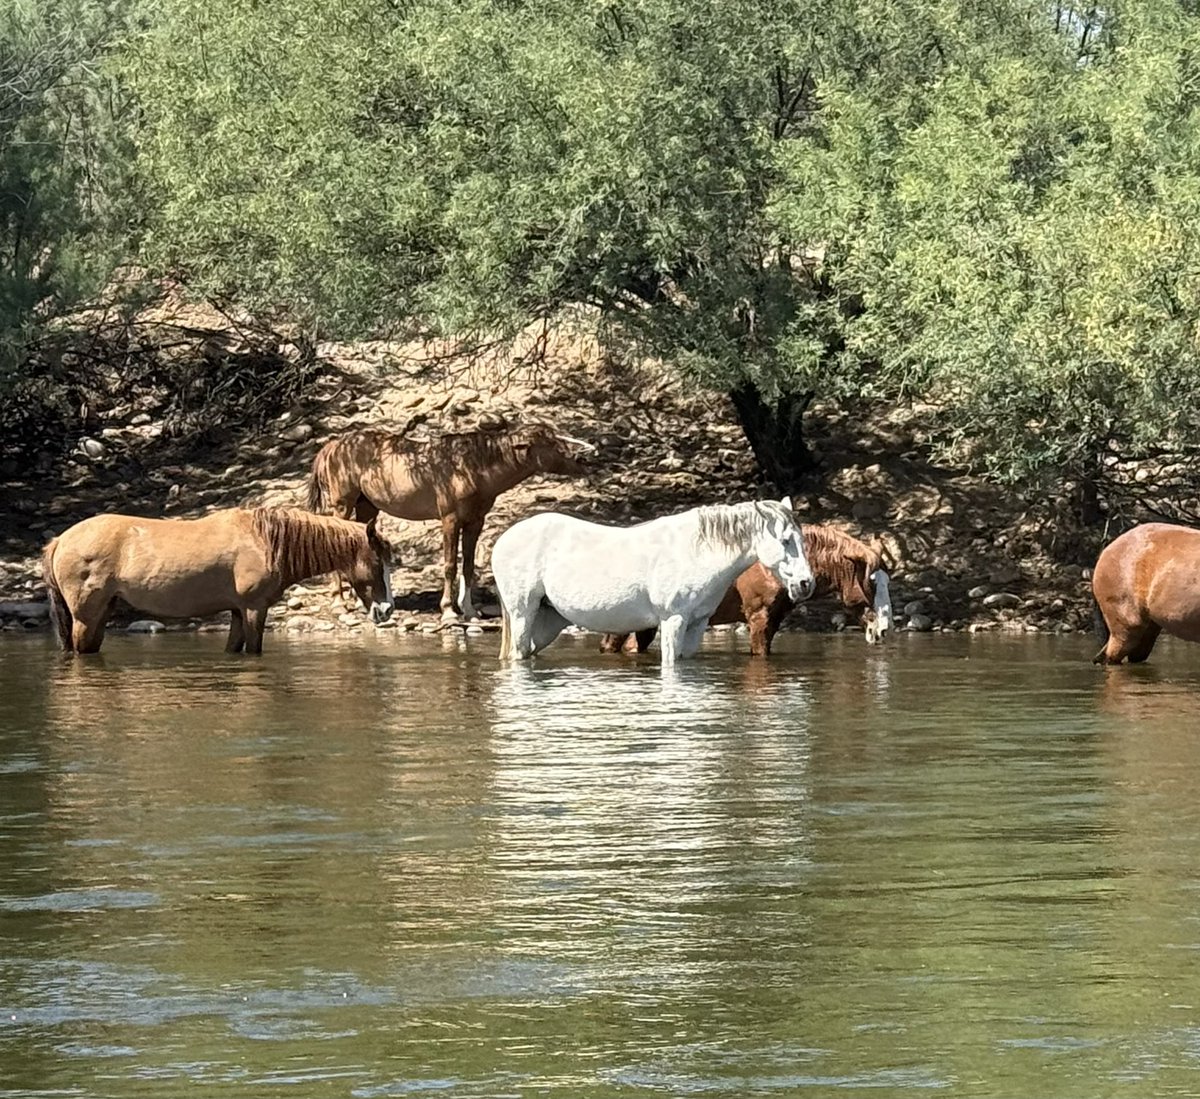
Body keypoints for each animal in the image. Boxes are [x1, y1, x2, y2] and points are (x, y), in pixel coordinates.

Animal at [42, 507, 395, 655]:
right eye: (378, 562)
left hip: (102, 612)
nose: (387, 610)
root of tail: (60, 540)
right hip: (85, 616)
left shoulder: (238, 612)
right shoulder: (253, 609)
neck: (265, 540)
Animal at [307, 423, 589, 621]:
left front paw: (469, 610)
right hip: (342, 505)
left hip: (367, 508)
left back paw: (356, 600)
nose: (582, 457)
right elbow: (450, 565)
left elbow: (469, 566)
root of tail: (332, 445)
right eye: (549, 441)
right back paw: (339, 601)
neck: (473, 468)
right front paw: (449, 611)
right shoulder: (450, 520)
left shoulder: (475, 521)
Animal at [491, 497, 816, 667]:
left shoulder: (697, 624)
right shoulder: (672, 620)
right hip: (523, 612)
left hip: (548, 619)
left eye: (802, 539)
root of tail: (502, 540)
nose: (805, 584)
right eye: (785, 541)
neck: (696, 551)